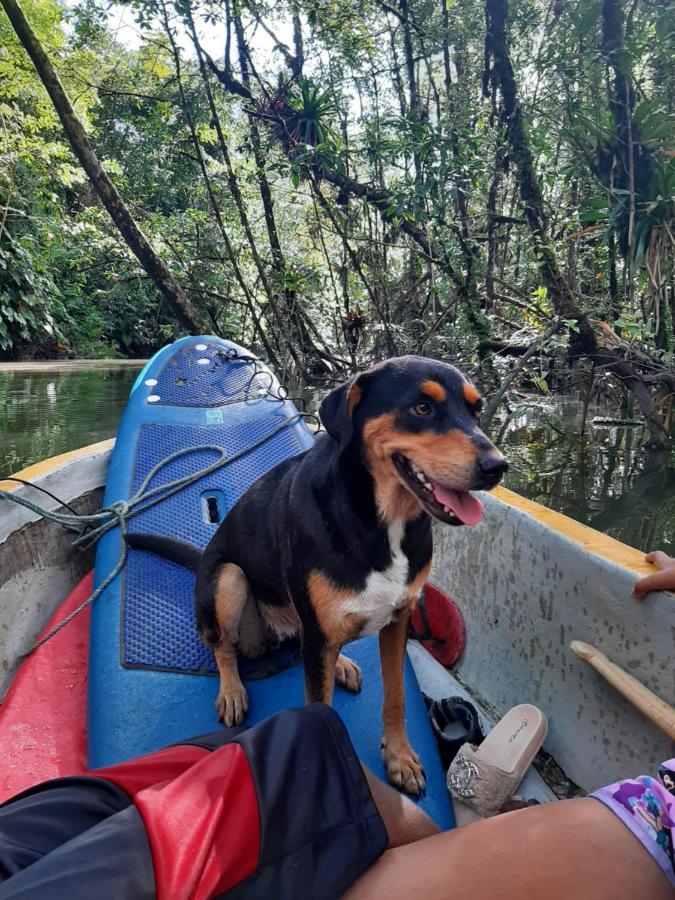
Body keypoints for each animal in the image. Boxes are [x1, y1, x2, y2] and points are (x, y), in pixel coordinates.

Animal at [129, 358, 508, 796]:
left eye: (476, 410)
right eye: (422, 408)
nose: (498, 467)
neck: (382, 519)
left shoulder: (398, 619)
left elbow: (396, 695)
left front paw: (400, 758)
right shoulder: (317, 635)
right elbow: (320, 711)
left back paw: (340, 663)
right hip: (228, 578)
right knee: (223, 647)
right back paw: (233, 690)